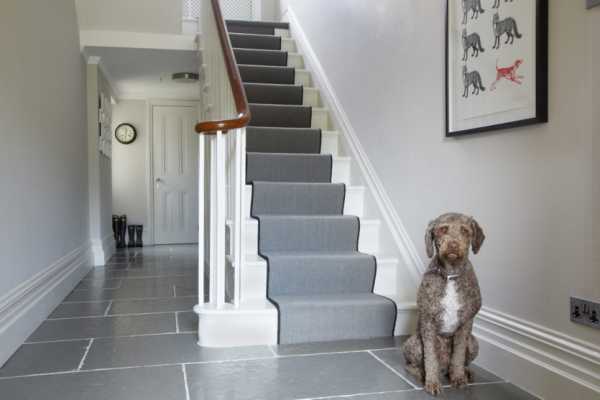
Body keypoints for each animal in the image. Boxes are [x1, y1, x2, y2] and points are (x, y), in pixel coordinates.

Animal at [402, 213, 485, 396]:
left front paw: (459, 378)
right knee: (412, 365)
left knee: (459, 362)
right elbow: (431, 357)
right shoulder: (428, 321)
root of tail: (444, 368)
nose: (453, 244)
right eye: (442, 229)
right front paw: (432, 383)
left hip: (473, 343)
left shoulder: (466, 323)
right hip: (414, 343)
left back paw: (465, 372)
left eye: (465, 230)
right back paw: (421, 374)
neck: (451, 275)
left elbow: (459, 355)